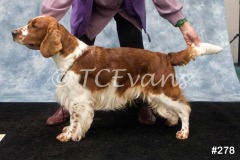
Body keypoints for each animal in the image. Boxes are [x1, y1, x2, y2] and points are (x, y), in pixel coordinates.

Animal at [11, 15, 223, 141]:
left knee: (184, 108)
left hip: (163, 89)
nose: (13, 33)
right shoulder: (73, 97)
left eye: (33, 25)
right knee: (172, 110)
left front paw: (69, 135)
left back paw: (183, 132)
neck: (70, 55)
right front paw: (68, 132)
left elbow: (74, 119)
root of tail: (165, 56)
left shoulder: (79, 99)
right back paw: (171, 121)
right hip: (156, 93)